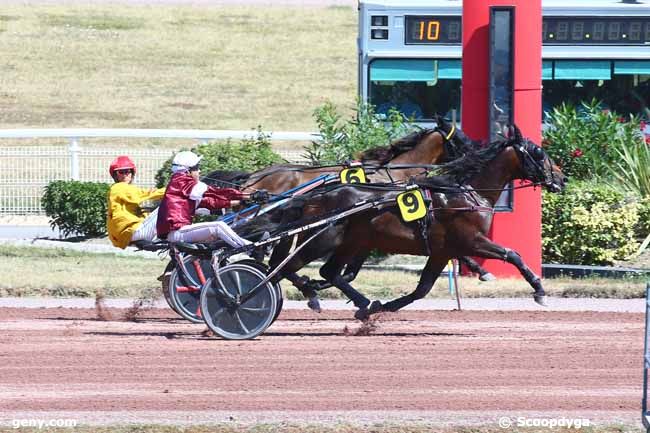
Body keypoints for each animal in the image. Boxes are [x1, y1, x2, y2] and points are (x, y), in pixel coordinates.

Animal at [239, 125, 568, 318]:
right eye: (540, 153)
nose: (562, 179)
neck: (465, 190)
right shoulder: (471, 240)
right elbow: (512, 254)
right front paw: (538, 290)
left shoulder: (442, 250)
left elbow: (422, 288)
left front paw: (383, 306)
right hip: (323, 238)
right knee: (283, 268)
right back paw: (252, 299)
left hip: (345, 240)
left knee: (320, 269)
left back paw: (354, 301)